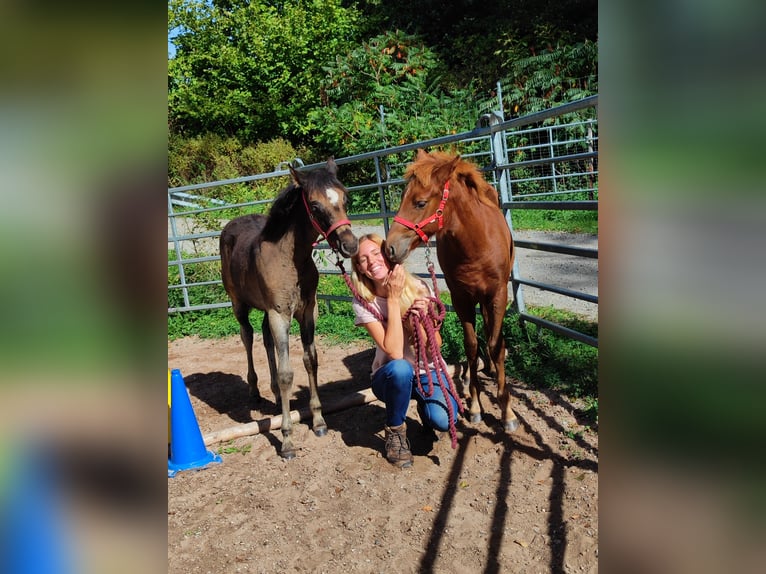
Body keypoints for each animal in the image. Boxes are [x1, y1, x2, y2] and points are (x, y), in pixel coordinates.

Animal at [219, 158, 359, 458]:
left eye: (345, 198)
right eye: (315, 206)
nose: (350, 245)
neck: (291, 260)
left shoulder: (307, 312)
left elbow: (310, 361)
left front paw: (318, 421)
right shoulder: (279, 315)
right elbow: (286, 374)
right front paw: (287, 440)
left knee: (265, 339)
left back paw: (272, 394)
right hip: (239, 304)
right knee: (247, 336)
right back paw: (254, 391)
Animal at [383, 149, 519, 433]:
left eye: (420, 202)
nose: (389, 248)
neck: (477, 245)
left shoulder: (498, 295)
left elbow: (495, 344)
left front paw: (507, 411)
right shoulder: (461, 299)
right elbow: (471, 346)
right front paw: (475, 406)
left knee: (492, 335)